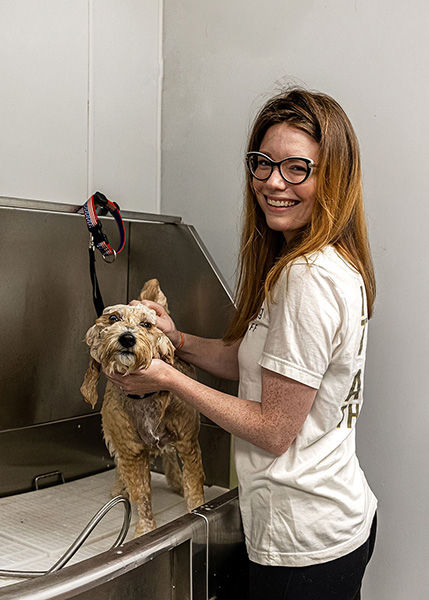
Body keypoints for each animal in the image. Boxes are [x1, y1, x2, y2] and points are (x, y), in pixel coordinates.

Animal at [82, 278, 207, 536]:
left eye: (147, 324)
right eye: (113, 318)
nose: (128, 338)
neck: (143, 398)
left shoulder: (188, 442)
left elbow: (194, 486)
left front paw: (195, 509)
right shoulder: (132, 451)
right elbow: (142, 494)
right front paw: (145, 530)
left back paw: (176, 482)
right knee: (123, 468)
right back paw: (120, 488)